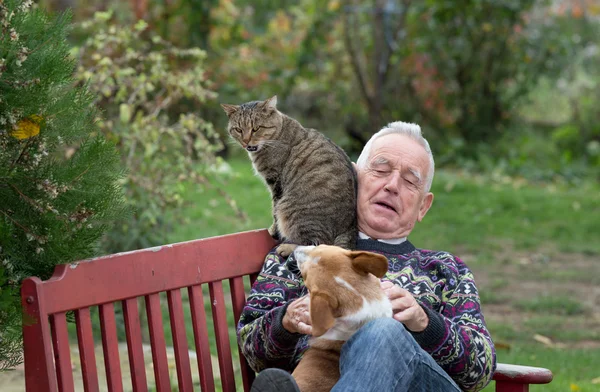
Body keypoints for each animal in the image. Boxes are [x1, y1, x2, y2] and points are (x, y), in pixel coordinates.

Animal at [219, 95, 356, 254]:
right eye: (238, 129)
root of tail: (350, 228)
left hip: (292, 211)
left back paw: (286, 248)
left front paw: (272, 231)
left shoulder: (275, 181)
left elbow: (274, 210)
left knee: (319, 244)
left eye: (256, 128)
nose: (246, 141)